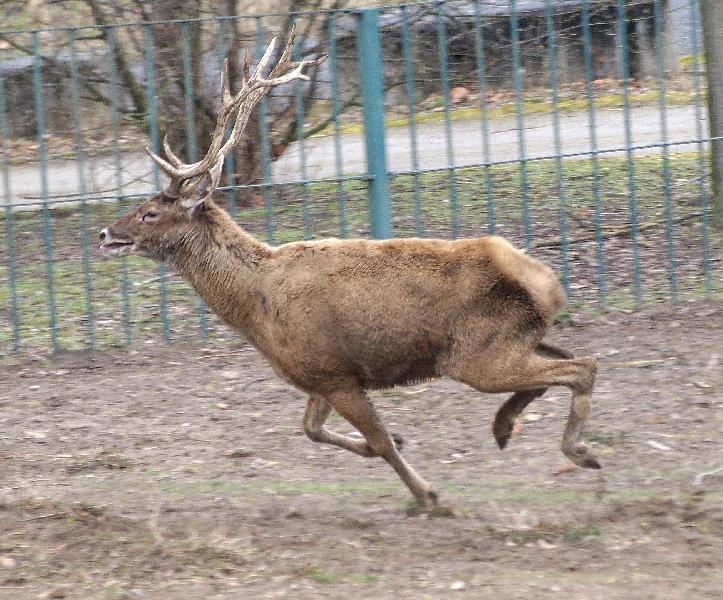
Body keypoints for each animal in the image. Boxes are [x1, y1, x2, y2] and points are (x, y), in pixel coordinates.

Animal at [99, 29, 599, 510]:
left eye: (150, 213)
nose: (105, 233)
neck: (256, 308)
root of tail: (546, 284)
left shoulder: (332, 371)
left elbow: (375, 442)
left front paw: (429, 496)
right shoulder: (319, 374)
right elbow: (313, 430)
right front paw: (403, 446)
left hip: (475, 355)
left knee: (583, 366)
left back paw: (577, 450)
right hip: (512, 340)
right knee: (568, 357)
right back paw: (507, 426)